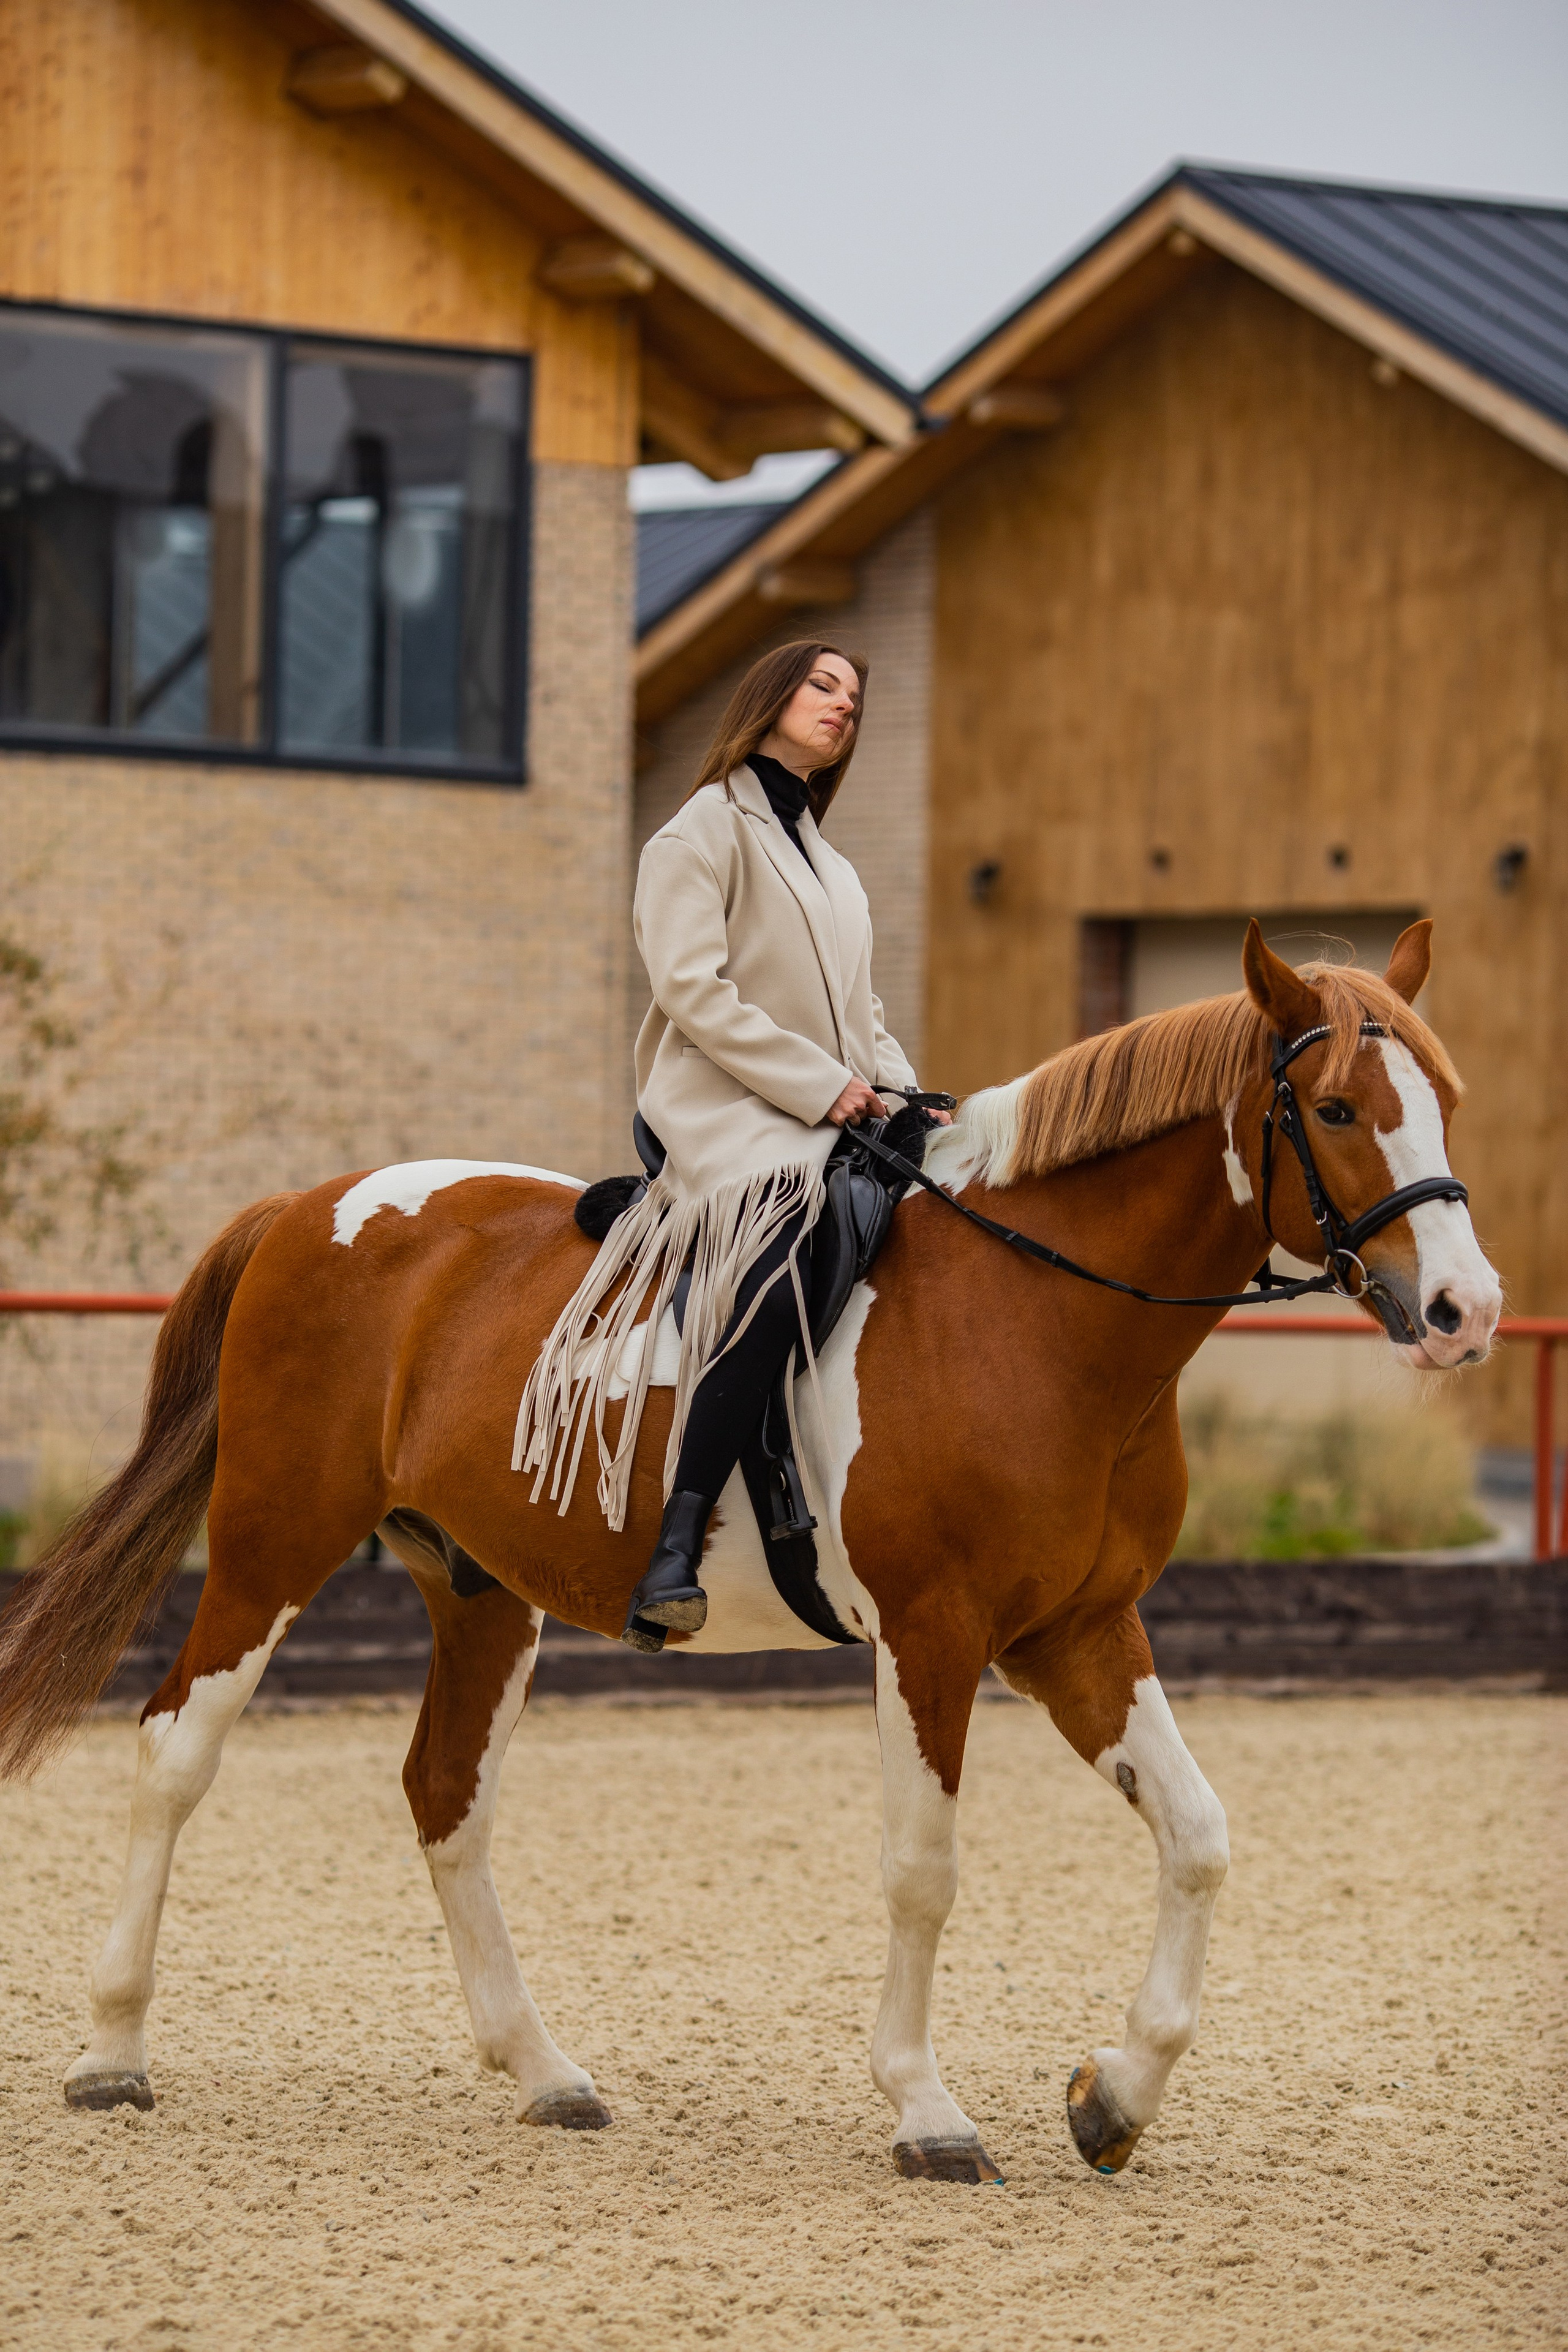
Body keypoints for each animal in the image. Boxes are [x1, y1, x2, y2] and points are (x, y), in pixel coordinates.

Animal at [0, 922, 1500, 2183]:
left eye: (1447, 1099)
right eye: (1334, 1110)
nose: (1464, 1311)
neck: (1036, 1312)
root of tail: (310, 1208)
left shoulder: (1080, 1632)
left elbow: (1197, 1838)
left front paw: (1113, 2098)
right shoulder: (933, 1635)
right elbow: (923, 1870)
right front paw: (927, 2112)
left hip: (482, 1592)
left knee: (445, 1795)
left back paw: (543, 2071)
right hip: (273, 1549)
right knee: (174, 1753)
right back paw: (112, 2052)